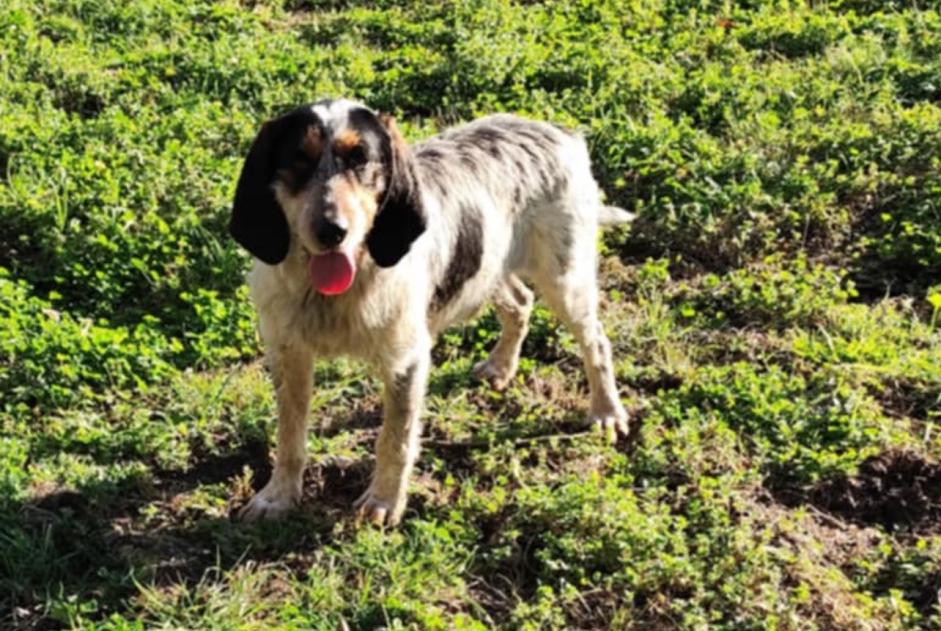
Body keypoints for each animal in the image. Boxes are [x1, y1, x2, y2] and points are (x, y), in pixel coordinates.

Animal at [228, 97, 632, 524]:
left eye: (361, 158)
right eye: (298, 159)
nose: (331, 231)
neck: (334, 292)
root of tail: (561, 133)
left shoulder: (406, 360)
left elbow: (395, 439)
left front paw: (384, 501)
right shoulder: (288, 353)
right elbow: (289, 435)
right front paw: (278, 496)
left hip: (565, 279)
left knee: (596, 342)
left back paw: (606, 411)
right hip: (487, 267)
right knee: (521, 301)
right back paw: (500, 366)